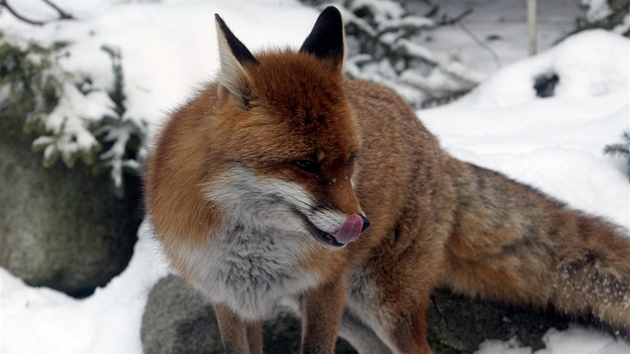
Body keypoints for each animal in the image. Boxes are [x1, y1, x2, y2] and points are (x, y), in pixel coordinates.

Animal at [146, 6, 630, 354]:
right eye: (305, 165)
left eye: (351, 162)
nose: (362, 224)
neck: (250, 249)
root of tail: (433, 140)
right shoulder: (229, 300)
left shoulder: (324, 288)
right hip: (356, 317)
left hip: (383, 303)